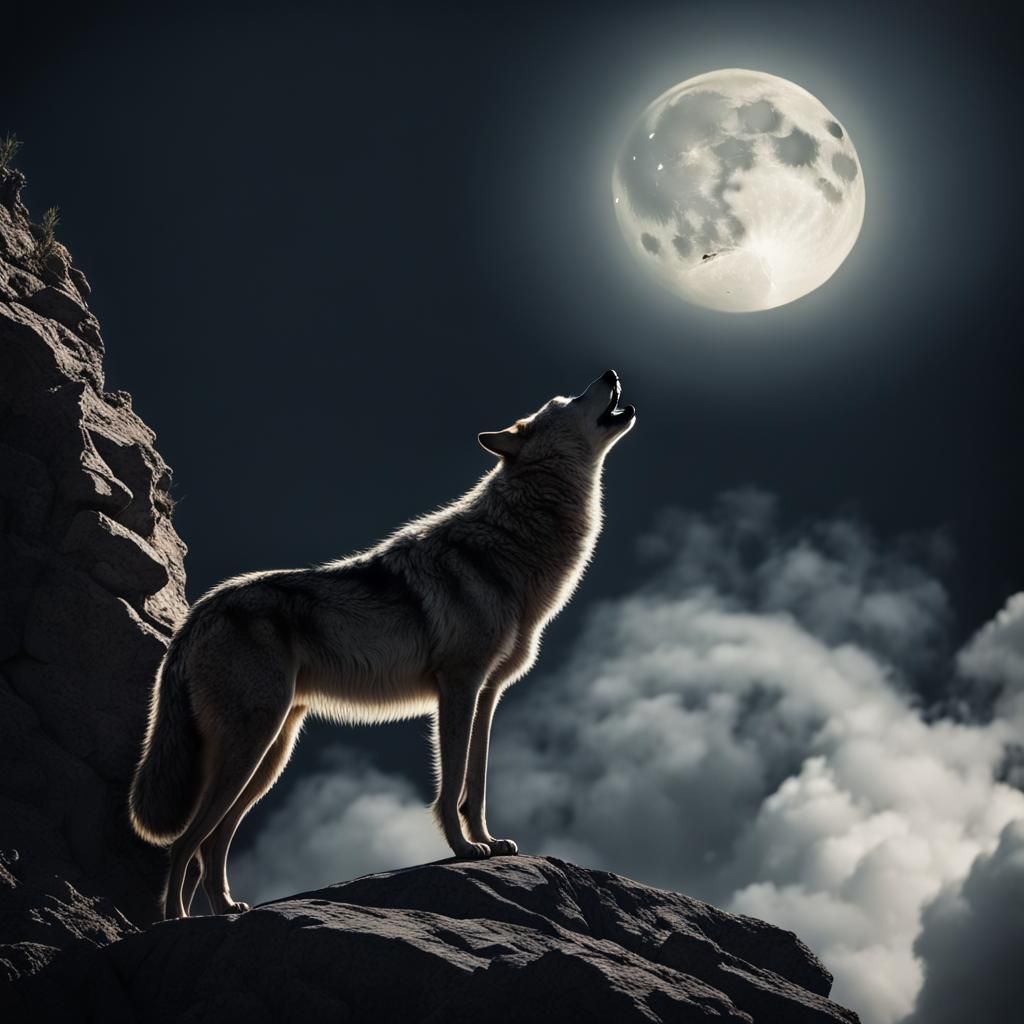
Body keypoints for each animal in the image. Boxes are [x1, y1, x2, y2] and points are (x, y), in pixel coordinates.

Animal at [128, 370, 636, 919]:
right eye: (566, 399)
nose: (609, 374)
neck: (511, 544)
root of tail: (198, 612)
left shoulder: (488, 695)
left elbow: (476, 784)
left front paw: (489, 841)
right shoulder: (458, 688)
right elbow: (451, 784)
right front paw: (464, 849)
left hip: (270, 755)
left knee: (212, 841)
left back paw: (226, 907)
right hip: (253, 747)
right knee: (186, 841)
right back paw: (176, 920)